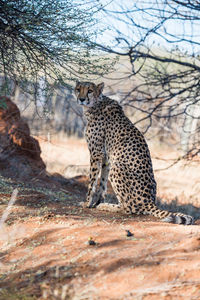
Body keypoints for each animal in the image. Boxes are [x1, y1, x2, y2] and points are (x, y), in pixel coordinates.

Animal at [74, 81, 194, 224]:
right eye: (78, 89)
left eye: (90, 91)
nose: (81, 99)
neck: (96, 104)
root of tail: (149, 201)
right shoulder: (106, 158)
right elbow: (102, 182)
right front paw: (97, 202)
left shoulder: (96, 153)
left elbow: (92, 182)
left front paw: (87, 203)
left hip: (117, 167)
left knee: (129, 208)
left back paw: (108, 206)